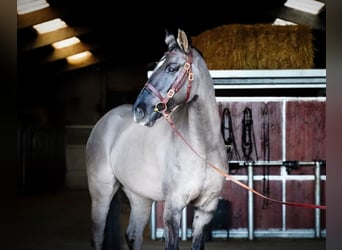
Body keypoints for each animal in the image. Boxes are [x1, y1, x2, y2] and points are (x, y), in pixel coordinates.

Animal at [85, 29, 228, 250]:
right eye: (154, 68)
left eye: (172, 68)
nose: (139, 111)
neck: (203, 147)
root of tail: (105, 119)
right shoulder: (173, 209)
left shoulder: (206, 209)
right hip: (101, 192)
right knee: (98, 237)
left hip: (139, 196)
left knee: (133, 235)